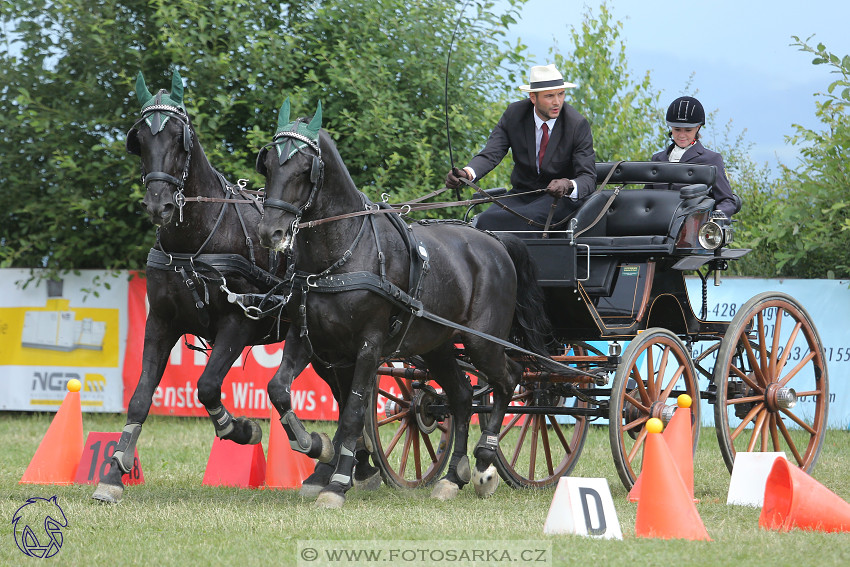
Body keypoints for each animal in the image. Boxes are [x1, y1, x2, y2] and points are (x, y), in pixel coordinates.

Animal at [90, 73, 378, 504]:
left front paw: (240, 428)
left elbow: (207, 386)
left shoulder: (238, 325)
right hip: (328, 351)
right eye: (139, 138)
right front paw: (113, 474)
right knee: (346, 400)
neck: (195, 241)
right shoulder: (160, 323)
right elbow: (140, 398)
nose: (158, 205)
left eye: (179, 139)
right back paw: (346, 466)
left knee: (349, 402)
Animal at [255, 98, 552, 510]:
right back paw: (453, 477)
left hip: (482, 342)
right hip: (437, 346)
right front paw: (317, 447)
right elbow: (279, 389)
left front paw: (338, 482)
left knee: (510, 378)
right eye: (267, 164)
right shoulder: (308, 340)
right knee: (462, 396)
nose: (270, 232)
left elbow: (352, 413)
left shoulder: (368, 347)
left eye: (303, 169)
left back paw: (484, 464)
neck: (342, 253)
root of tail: (495, 241)